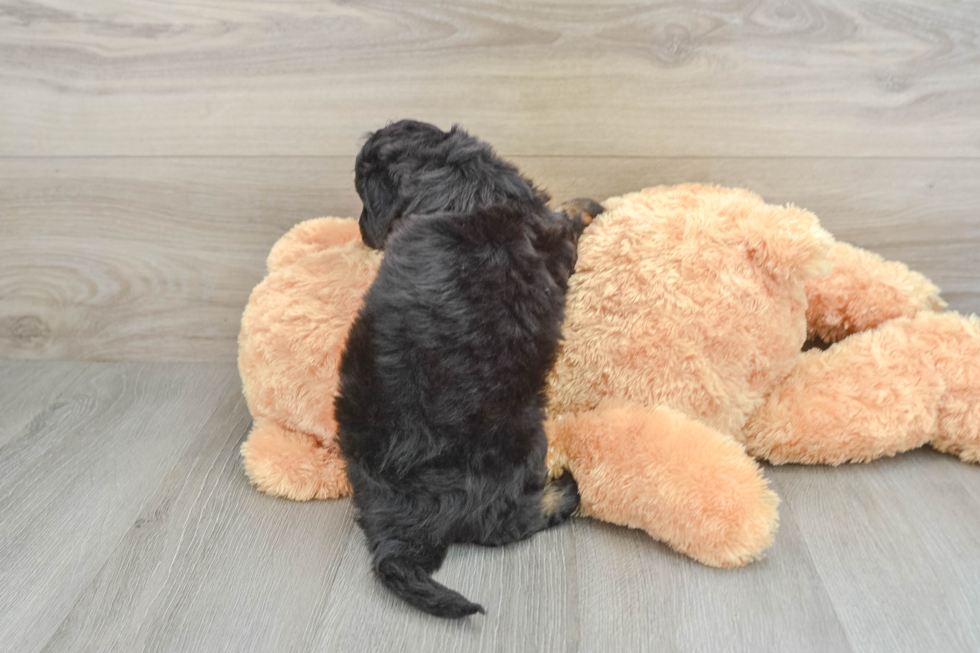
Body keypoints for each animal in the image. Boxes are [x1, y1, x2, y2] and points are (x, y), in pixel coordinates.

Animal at [334, 121, 596, 616]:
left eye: (360, 197)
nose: (360, 232)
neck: (458, 180)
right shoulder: (551, 232)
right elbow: (567, 215)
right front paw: (590, 204)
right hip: (521, 442)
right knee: (512, 520)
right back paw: (565, 493)